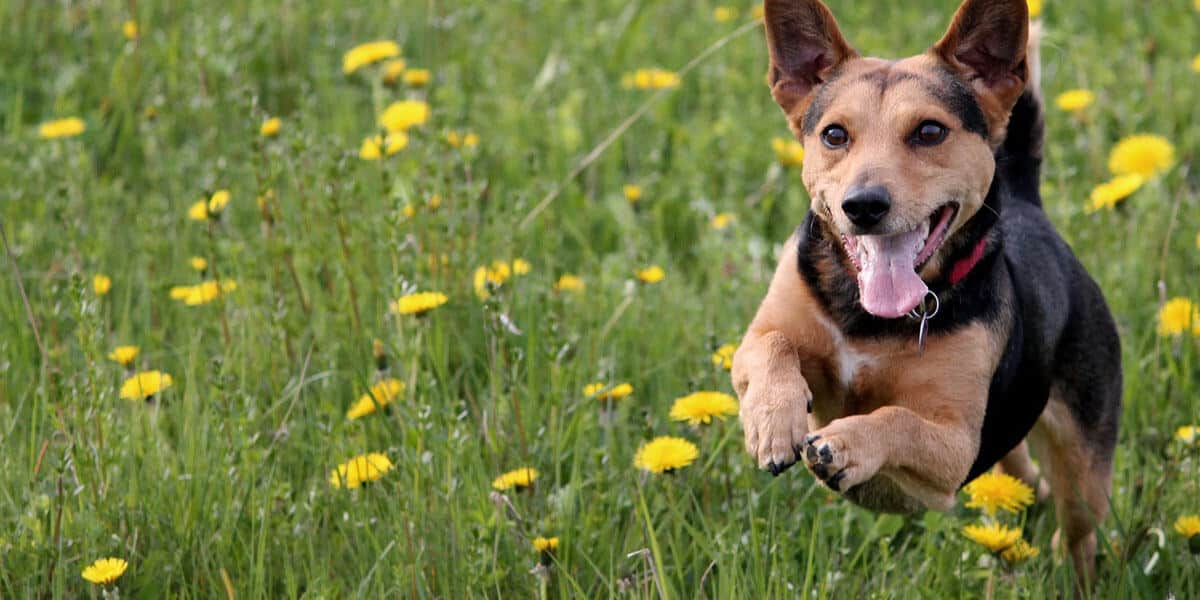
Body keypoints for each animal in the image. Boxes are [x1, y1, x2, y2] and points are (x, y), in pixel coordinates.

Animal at [729, 0, 1123, 583]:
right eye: (834, 135)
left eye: (930, 131)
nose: (863, 205)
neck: (871, 319)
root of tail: (1029, 207)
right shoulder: (762, 338)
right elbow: (771, 346)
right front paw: (773, 420)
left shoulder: (956, 447)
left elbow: (897, 420)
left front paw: (845, 443)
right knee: (1024, 474)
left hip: (1085, 465)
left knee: (1079, 532)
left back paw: (1072, 575)